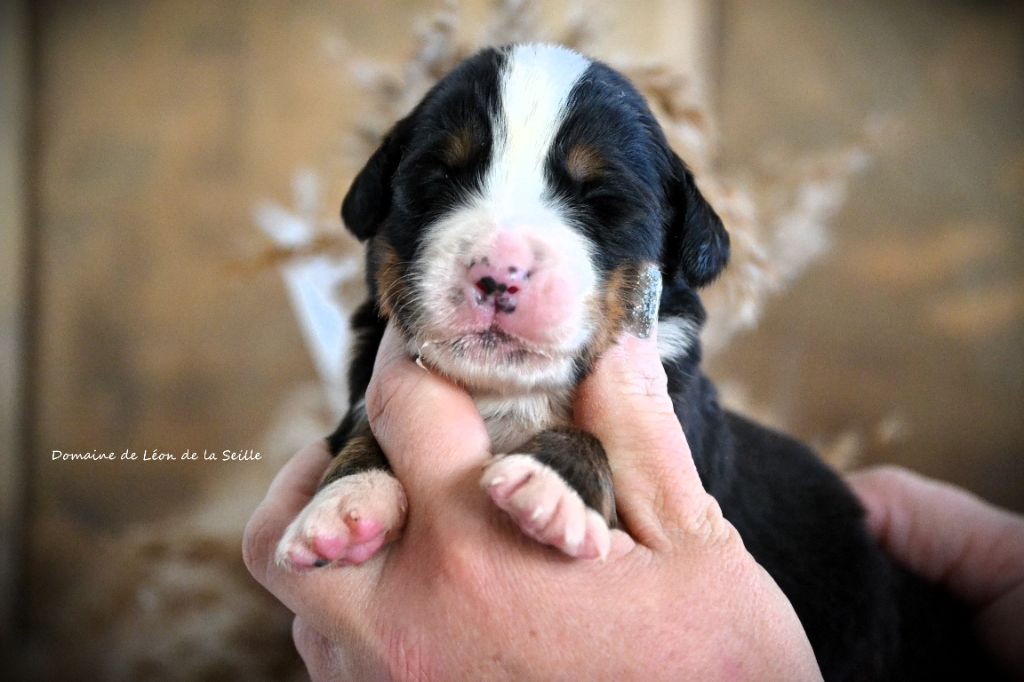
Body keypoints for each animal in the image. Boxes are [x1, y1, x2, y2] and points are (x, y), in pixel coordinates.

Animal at [276, 43, 995, 679]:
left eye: (599, 201)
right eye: (439, 179)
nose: (499, 274)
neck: (508, 397)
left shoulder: (680, 421)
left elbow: (599, 437)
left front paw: (552, 483)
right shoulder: (363, 387)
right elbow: (361, 431)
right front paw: (344, 506)